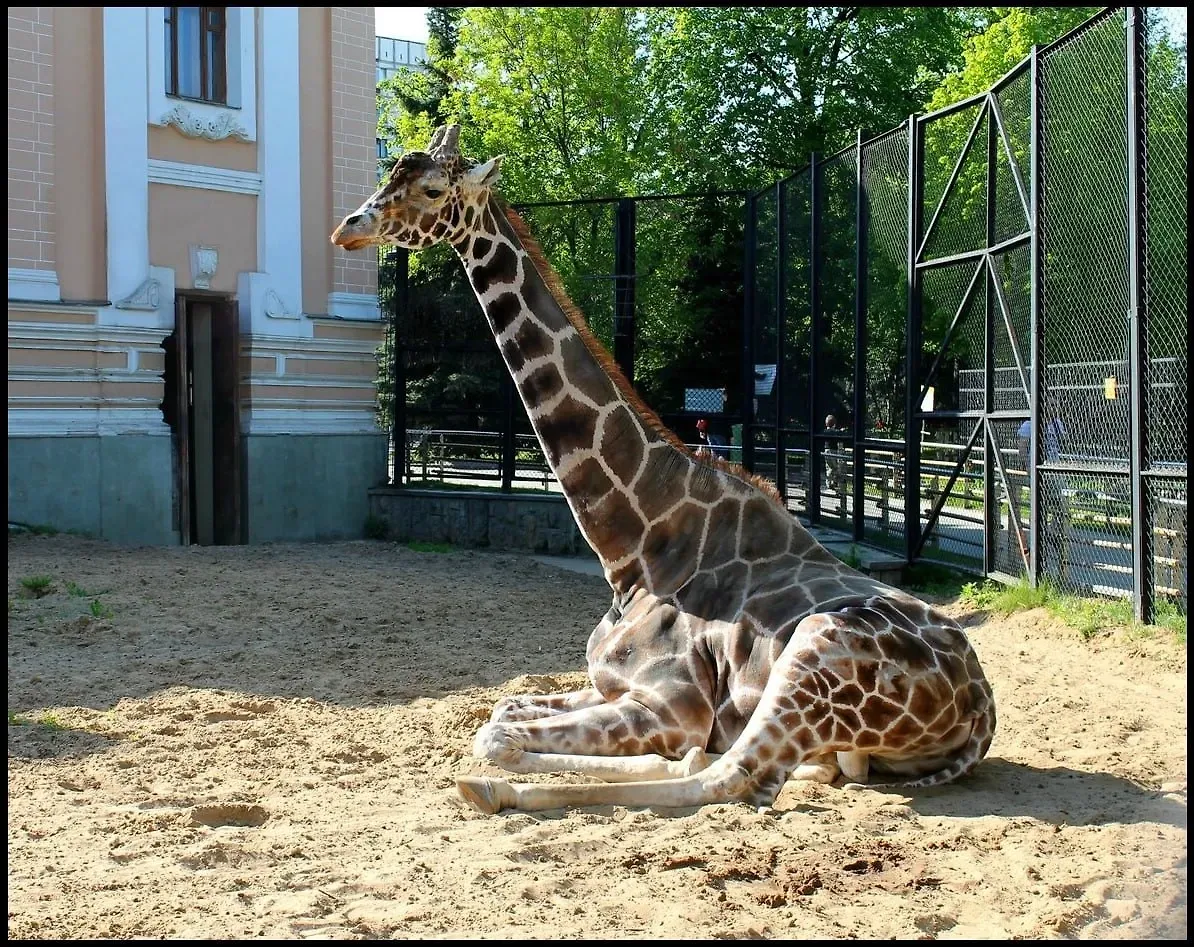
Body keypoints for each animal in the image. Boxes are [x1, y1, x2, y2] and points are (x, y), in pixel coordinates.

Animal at [331, 125, 993, 812]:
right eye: (390, 175)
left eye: (434, 189)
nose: (348, 228)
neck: (636, 548)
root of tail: (980, 708)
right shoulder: (609, 684)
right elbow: (502, 712)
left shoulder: (674, 706)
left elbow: (499, 734)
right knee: (738, 765)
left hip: (814, 652)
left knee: (729, 775)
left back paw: (495, 790)